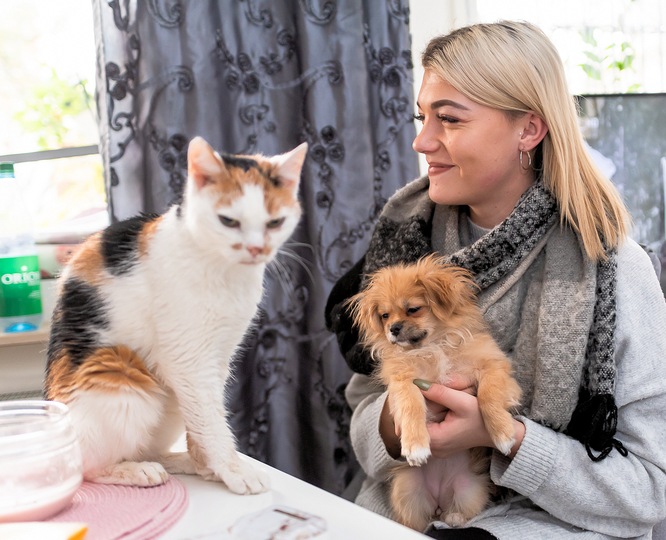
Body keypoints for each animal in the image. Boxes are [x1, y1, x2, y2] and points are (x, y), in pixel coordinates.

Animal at [44, 135, 308, 494]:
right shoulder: (189, 361)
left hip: (168, 396)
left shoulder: (218, 358)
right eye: (229, 221)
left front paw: (209, 465)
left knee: (148, 445)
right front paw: (232, 468)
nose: (256, 249)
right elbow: (211, 421)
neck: (224, 272)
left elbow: (206, 416)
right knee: (87, 466)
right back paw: (135, 471)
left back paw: (179, 462)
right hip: (120, 374)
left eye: (275, 222)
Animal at [344, 256, 520, 532]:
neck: (433, 347)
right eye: (385, 316)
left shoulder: (493, 366)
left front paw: (502, 433)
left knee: (457, 512)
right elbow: (412, 406)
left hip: (470, 490)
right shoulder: (405, 382)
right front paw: (415, 443)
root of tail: (439, 501)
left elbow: (488, 396)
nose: (393, 328)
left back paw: (455, 518)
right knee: (415, 522)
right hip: (406, 489)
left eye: (413, 309)